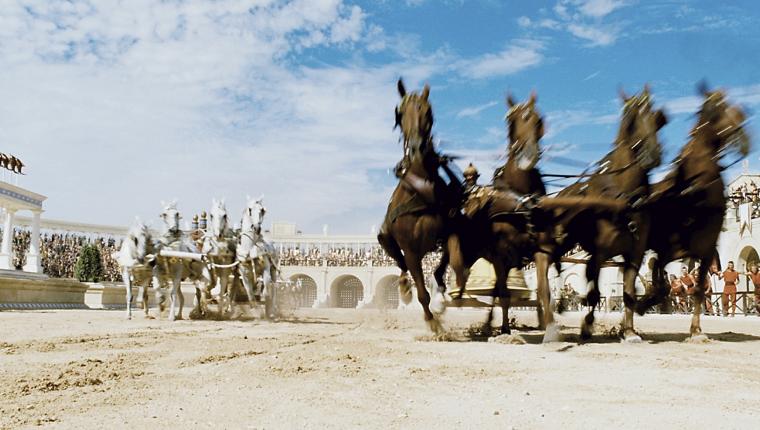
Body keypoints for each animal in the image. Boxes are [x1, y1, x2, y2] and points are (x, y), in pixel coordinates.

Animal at [378, 78, 460, 332]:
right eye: (400, 113)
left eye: (428, 111)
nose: (417, 147)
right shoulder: (412, 250)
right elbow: (421, 289)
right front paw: (433, 321)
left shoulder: (449, 233)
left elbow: (442, 266)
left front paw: (441, 299)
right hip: (387, 240)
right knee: (401, 264)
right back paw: (405, 288)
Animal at [434, 92, 560, 340]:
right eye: (511, 121)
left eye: (539, 120)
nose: (527, 155)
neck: (521, 202)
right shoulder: (501, 254)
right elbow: (503, 293)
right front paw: (505, 329)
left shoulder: (540, 250)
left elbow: (543, 289)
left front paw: (550, 329)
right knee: (442, 271)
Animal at [548, 86, 668, 342]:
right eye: (632, 121)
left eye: (658, 118)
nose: (652, 154)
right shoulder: (599, 252)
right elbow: (594, 292)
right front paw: (586, 326)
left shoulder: (634, 255)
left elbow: (630, 292)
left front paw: (630, 331)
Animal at [640, 85, 752, 340]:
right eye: (718, 108)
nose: (744, 141)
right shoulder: (672, 247)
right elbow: (661, 281)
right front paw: (647, 301)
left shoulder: (706, 249)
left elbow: (699, 289)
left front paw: (696, 331)